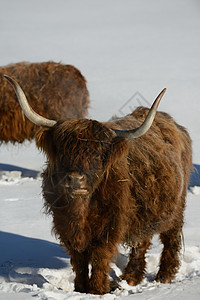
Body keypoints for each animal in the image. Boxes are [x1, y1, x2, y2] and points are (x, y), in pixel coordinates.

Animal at [4, 75, 192, 296]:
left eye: (97, 155)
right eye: (63, 152)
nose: (75, 179)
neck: (81, 210)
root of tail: (174, 124)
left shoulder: (109, 228)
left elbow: (100, 257)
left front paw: (98, 290)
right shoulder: (66, 227)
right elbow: (78, 260)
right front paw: (80, 288)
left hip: (176, 207)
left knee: (170, 238)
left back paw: (164, 276)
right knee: (141, 241)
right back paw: (131, 278)